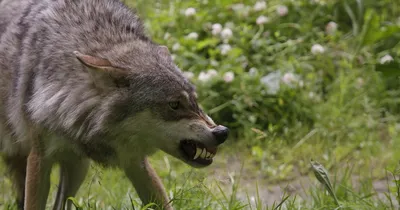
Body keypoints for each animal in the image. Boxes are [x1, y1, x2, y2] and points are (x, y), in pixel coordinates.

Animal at [0, 0, 228, 209]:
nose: (222, 132)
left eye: (194, 100)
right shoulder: (39, 158)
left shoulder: (136, 161)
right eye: (174, 104)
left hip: (78, 167)